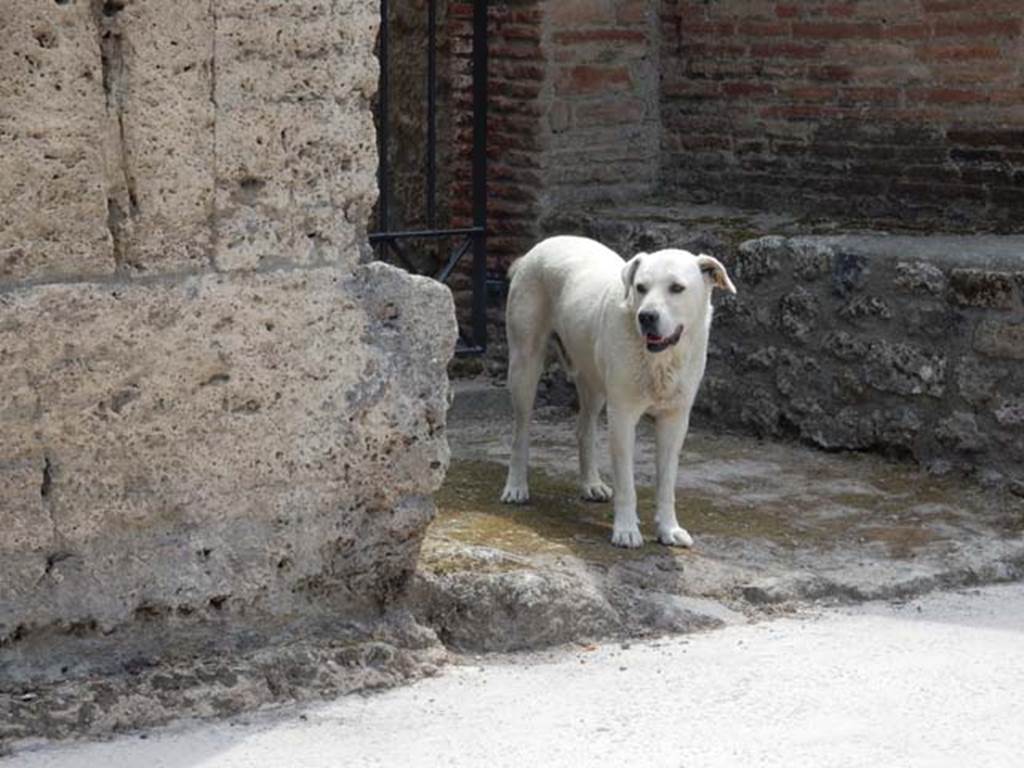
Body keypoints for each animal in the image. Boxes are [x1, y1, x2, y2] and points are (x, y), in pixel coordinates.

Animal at [497, 237, 733, 548]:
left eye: (677, 288)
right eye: (641, 287)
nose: (646, 316)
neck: (660, 359)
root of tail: (537, 249)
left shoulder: (675, 421)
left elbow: (666, 483)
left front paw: (669, 528)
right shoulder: (622, 418)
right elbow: (626, 484)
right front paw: (626, 530)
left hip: (593, 381)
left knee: (584, 429)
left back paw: (591, 484)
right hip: (525, 366)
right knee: (519, 432)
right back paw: (516, 486)